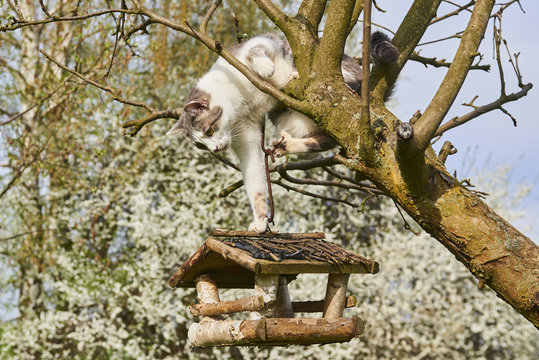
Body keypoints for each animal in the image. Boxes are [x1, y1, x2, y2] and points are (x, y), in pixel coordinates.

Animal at [167, 31, 398, 233]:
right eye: (201, 145)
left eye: (209, 131)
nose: (215, 149)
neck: (241, 104)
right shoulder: (248, 137)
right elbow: (256, 184)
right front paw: (261, 220)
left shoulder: (261, 43)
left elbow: (253, 52)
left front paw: (266, 69)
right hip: (299, 120)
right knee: (328, 139)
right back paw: (287, 145)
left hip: (331, 83)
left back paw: (303, 77)